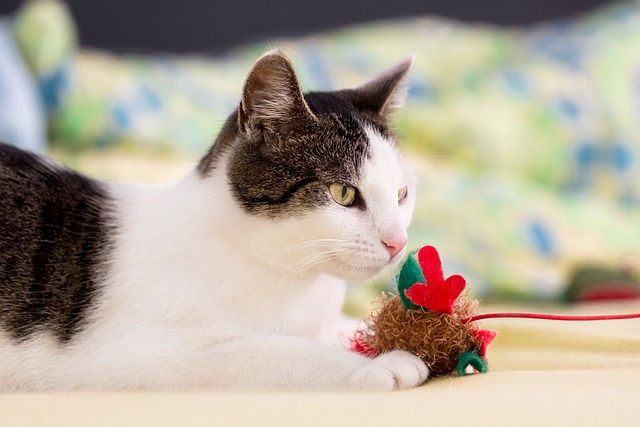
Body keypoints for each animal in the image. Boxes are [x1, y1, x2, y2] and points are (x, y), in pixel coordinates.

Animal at [1, 50, 430, 392]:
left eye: (402, 194)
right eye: (343, 193)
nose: (398, 242)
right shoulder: (131, 356)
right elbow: (273, 351)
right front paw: (381, 365)